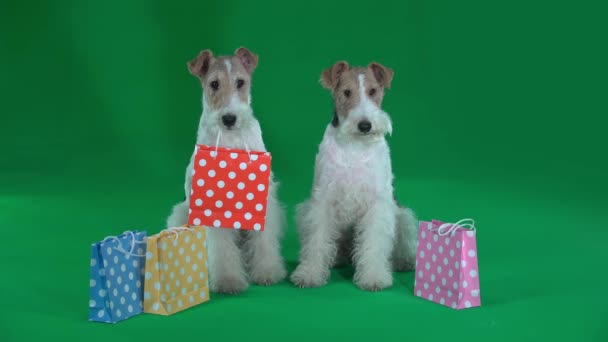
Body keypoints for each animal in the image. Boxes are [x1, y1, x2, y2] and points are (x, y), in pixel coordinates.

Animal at [166, 47, 288, 294]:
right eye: (214, 84)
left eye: (241, 82)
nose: (229, 119)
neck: (232, 141)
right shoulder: (212, 206)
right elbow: (221, 248)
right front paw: (227, 280)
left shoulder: (263, 200)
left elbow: (264, 241)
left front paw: (268, 272)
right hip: (180, 214)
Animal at [290, 60, 418, 290]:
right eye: (347, 92)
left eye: (373, 91)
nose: (365, 125)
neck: (355, 146)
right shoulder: (322, 200)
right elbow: (317, 240)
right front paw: (309, 274)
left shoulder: (377, 203)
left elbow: (374, 242)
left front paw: (373, 277)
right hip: (305, 211)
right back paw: (337, 258)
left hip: (402, 216)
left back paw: (404, 261)